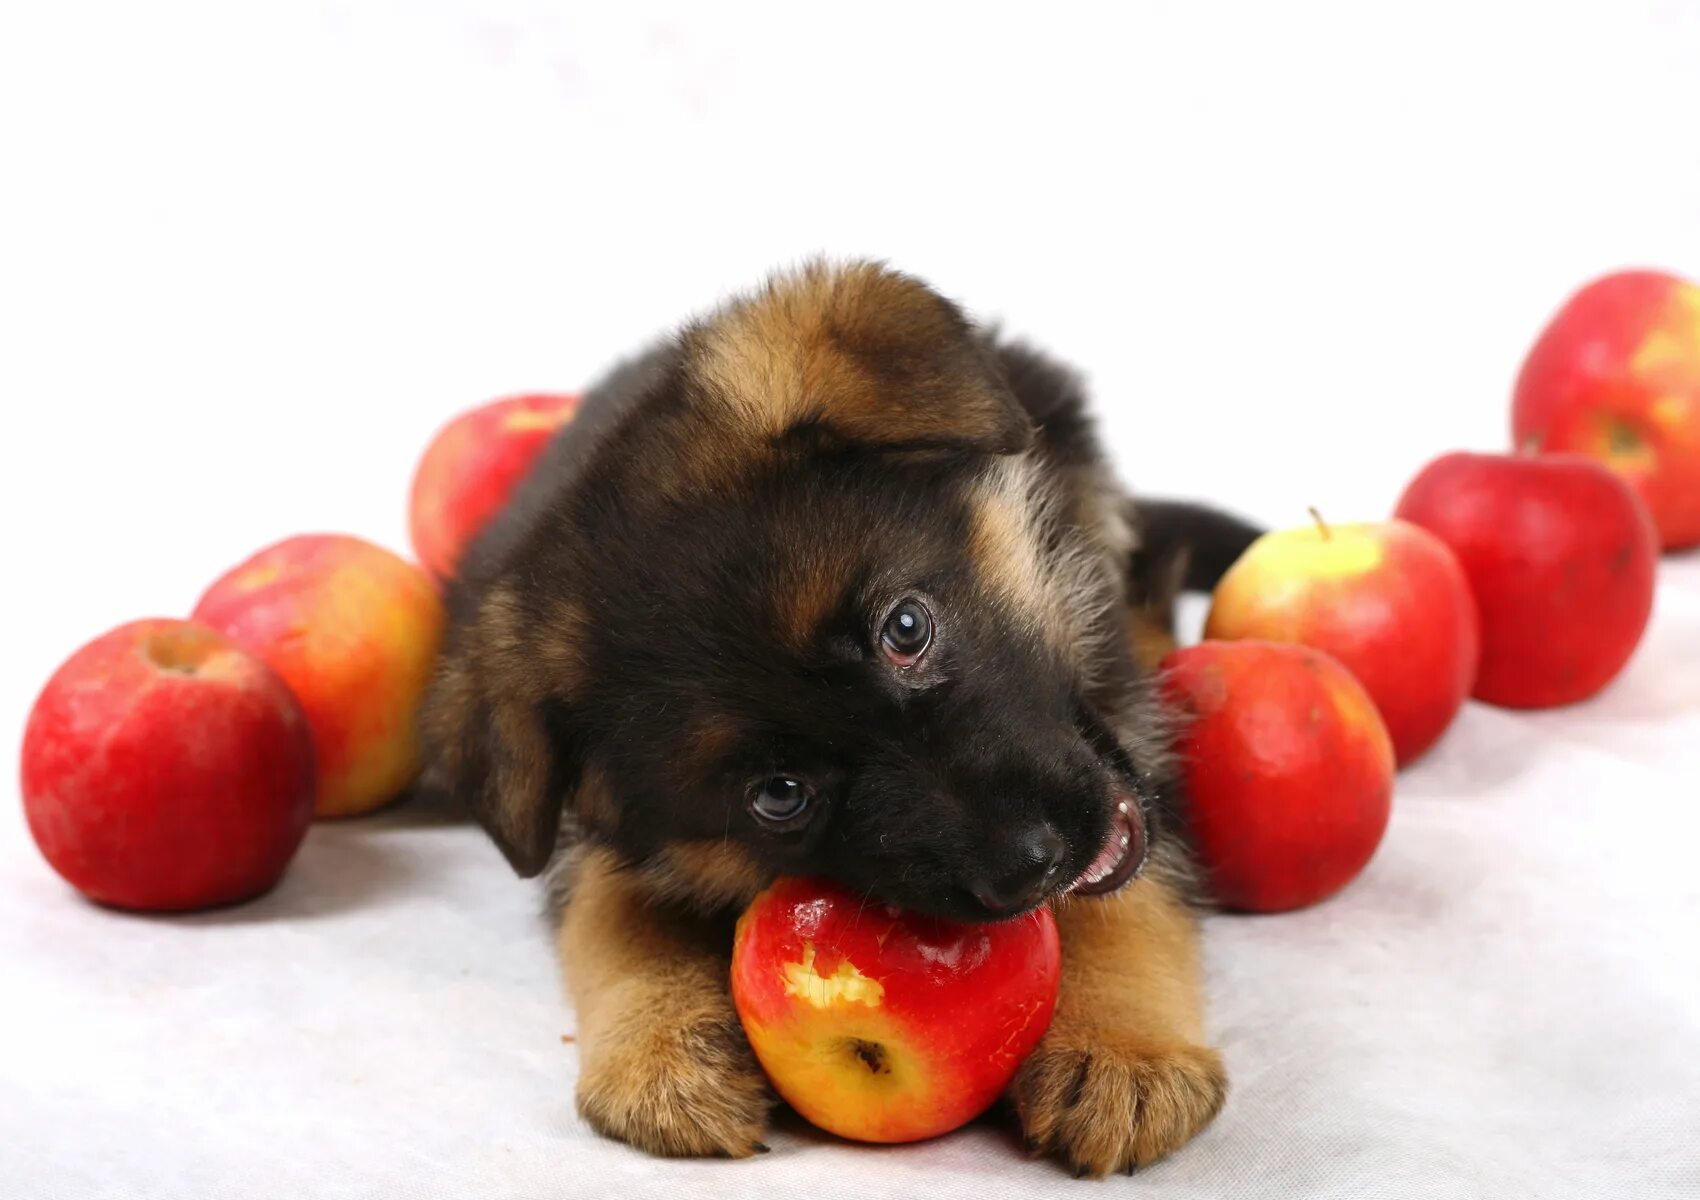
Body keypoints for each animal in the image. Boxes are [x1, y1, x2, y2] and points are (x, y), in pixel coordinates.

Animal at [418, 260, 1258, 1169]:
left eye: (906, 627)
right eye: (780, 795)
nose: (1032, 865)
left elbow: (1133, 893)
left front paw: (1119, 1050)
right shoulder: (600, 836)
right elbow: (610, 916)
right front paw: (663, 1053)